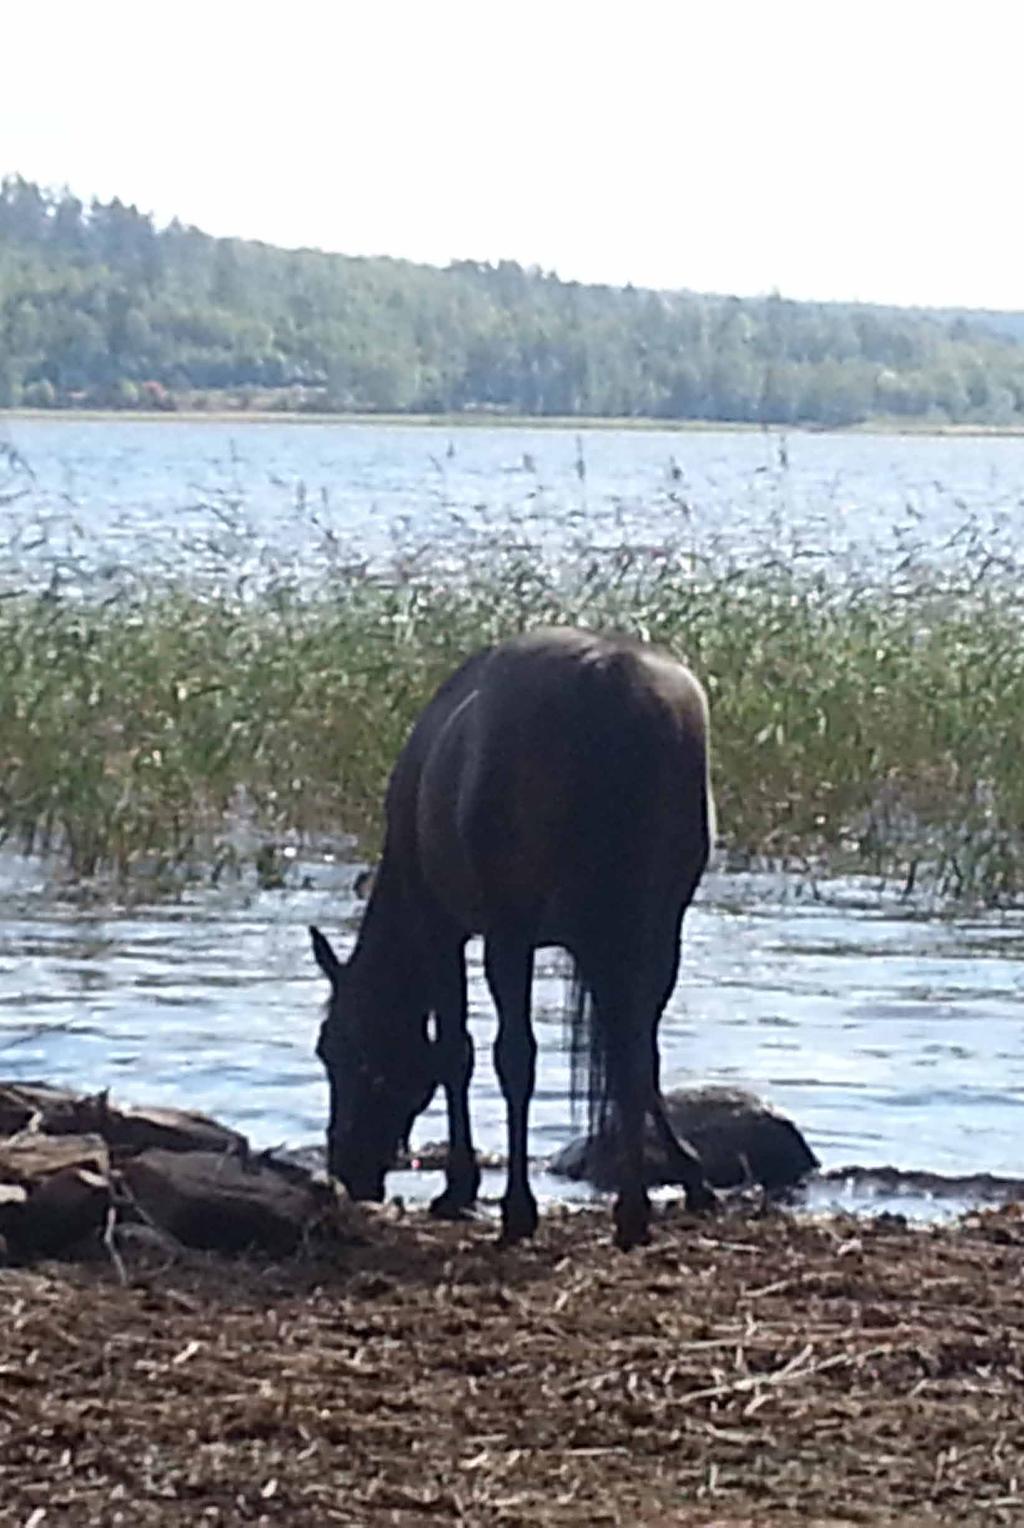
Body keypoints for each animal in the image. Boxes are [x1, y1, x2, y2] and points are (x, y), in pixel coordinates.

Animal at [313, 626, 721, 1246]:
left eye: (335, 1049)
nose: (348, 1170)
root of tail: (610, 677)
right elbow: (636, 1062)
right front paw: (691, 1175)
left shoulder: (444, 928)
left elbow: (456, 1051)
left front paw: (459, 1188)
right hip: (655, 927)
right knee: (636, 1052)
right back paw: (632, 1211)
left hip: (513, 932)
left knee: (518, 1058)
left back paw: (519, 1210)